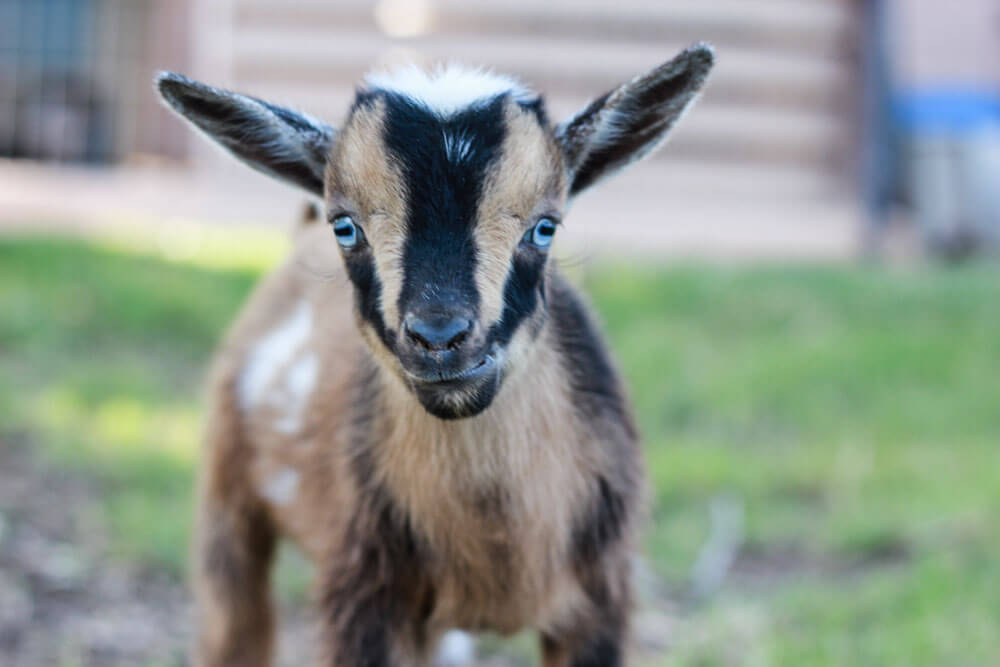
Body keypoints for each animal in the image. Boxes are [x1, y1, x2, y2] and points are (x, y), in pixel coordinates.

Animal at [156, 47, 716, 667]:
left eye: (545, 227)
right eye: (345, 227)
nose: (440, 337)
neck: (497, 543)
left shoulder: (603, 598)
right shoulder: (361, 594)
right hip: (226, 492)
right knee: (234, 622)